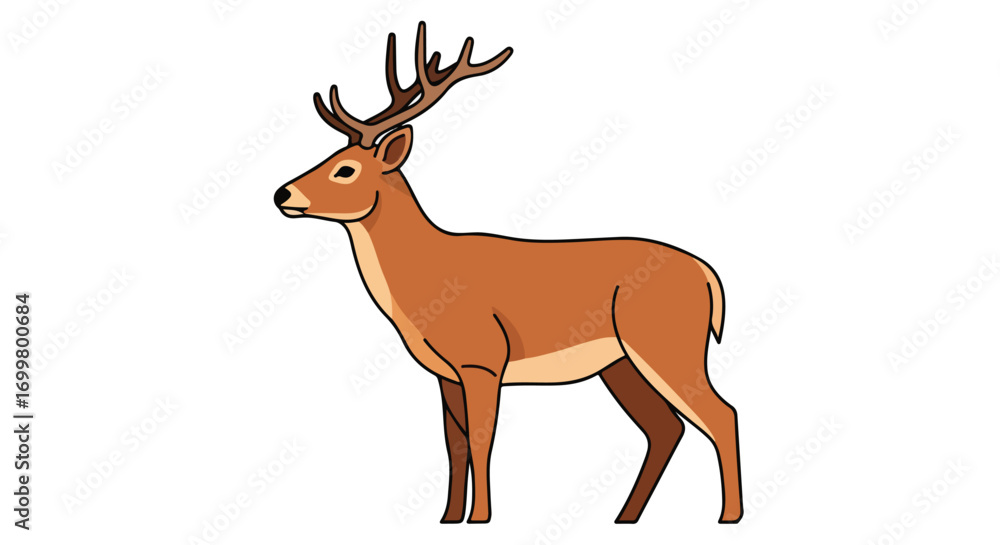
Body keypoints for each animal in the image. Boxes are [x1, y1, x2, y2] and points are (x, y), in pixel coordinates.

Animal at [273, 22, 743, 524]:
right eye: (325, 157)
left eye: (345, 169)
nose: (283, 194)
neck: (425, 277)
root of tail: (708, 275)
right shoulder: (445, 371)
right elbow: (454, 444)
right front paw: (448, 519)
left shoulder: (483, 357)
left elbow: (483, 442)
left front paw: (481, 518)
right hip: (621, 363)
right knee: (664, 428)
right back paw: (625, 517)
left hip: (667, 344)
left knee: (721, 414)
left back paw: (728, 516)